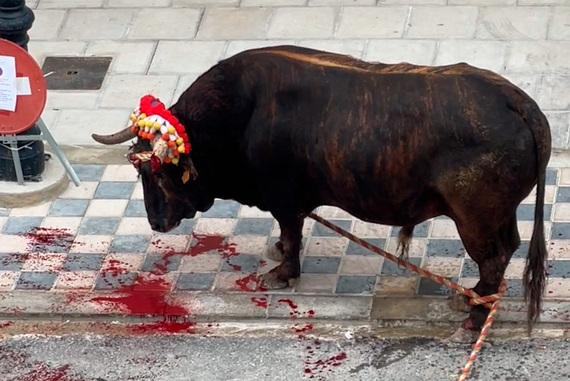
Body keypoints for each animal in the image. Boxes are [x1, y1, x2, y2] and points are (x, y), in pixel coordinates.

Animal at [91, 45, 548, 342]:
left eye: (156, 172)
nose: (156, 222)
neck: (238, 115)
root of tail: (515, 101)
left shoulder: (285, 200)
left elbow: (292, 236)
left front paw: (282, 272)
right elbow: (286, 236)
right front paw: (277, 252)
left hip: (474, 218)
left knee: (493, 258)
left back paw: (474, 316)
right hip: (499, 215)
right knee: (507, 249)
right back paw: (472, 301)